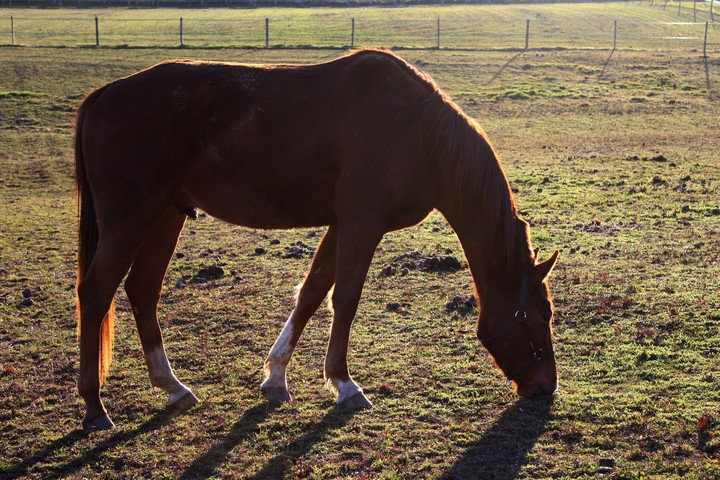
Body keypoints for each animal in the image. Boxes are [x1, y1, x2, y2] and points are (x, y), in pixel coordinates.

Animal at [73, 49, 560, 432]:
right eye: (543, 314)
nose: (547, 386)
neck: (421, 134)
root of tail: (103, 96)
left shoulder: (343, 225)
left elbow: (311, 293)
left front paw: (276, 378)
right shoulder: (363, 223)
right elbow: (344, 299)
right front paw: (344, 384)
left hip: (164, 216)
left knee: (142, 291)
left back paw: (172, 387)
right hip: (129, 220)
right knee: (95, 293)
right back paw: (95, 407)